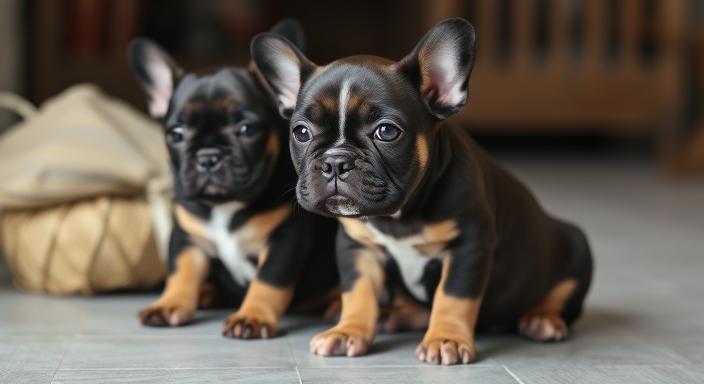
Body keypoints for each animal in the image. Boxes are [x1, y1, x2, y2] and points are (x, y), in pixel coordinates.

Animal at [129, 20, 338, 340]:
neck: (224, 206)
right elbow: (180, 272)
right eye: (176, 134)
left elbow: (268, 281)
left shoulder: (285, 239)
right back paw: (206, 294)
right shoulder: (187, 237)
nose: (208, 156)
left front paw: (252, 316)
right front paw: (170, 303)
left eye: (247, 129)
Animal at [250, 18, 592, 364]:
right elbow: (357, 294)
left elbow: (453, 297)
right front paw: (348, 331)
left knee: (561, 300)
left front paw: (446, 339)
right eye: (301, 132)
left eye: (386, 131)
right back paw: (395, 315)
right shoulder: (358, 248)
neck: (400, 217)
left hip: (578, 249)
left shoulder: (468, 247)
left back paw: (542, 319)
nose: (335, 161)